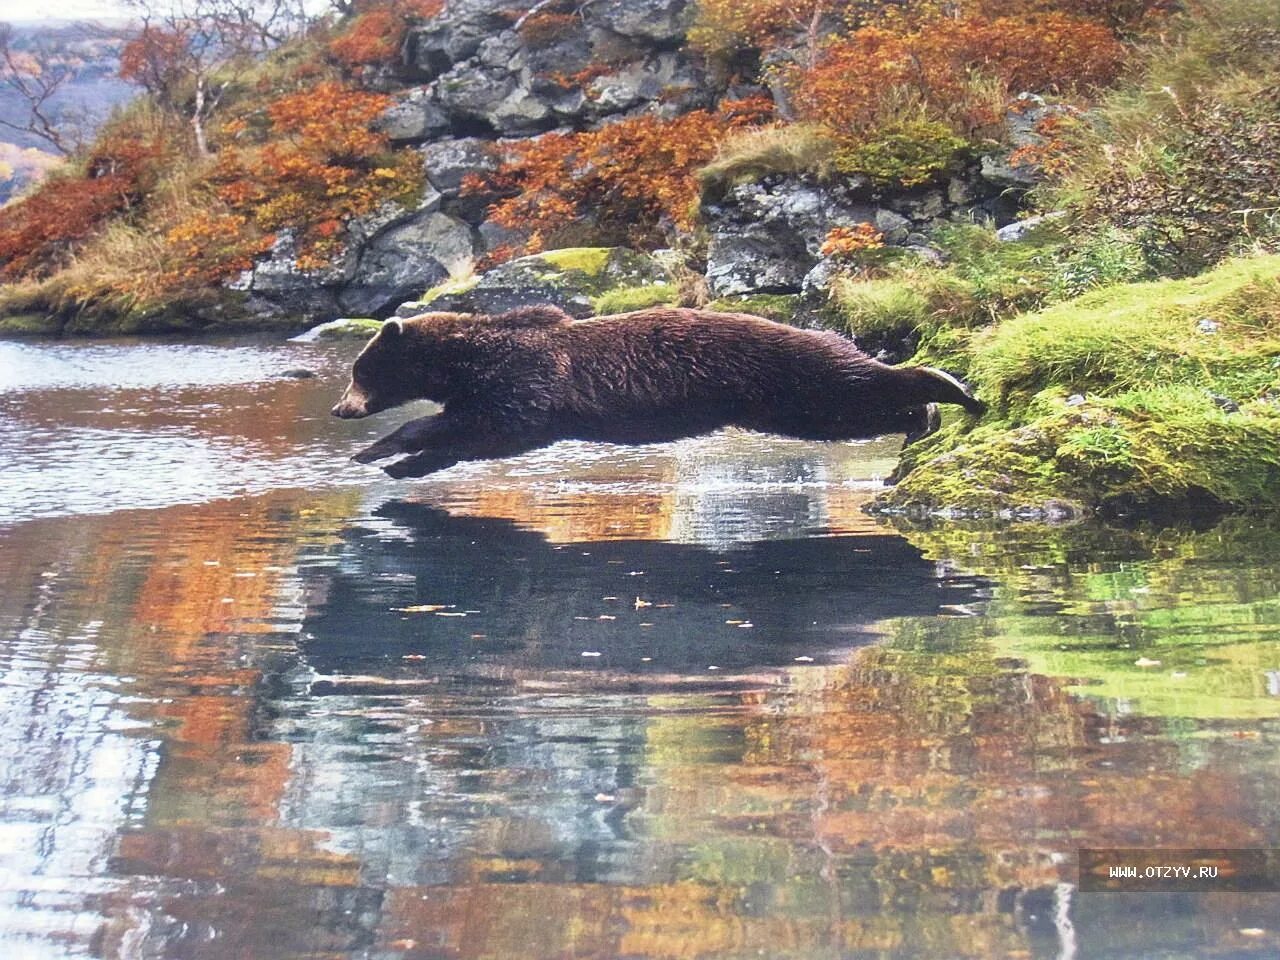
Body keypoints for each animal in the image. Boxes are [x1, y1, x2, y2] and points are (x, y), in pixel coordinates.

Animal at [330, 305, 977, 478]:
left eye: (360, 371)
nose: (340, 408)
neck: (465, 360)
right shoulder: (528, 405)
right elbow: (484, 436)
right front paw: (402, 463)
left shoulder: (527, 378)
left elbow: (490, 423)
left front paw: (382, 448)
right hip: (783, 404)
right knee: (846, 416)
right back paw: (918, 422)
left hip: (788, 371)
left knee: (856, 381)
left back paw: (950, 387)